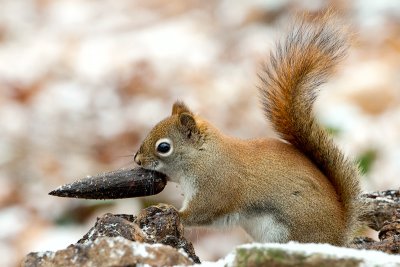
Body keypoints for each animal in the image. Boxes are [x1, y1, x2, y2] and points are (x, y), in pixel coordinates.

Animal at [134, 12, 362, 247]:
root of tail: (338, 235)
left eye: (163, 147)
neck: (203, 156)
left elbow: (201, 212)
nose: (138, 160)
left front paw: (170, 211)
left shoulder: (216, 185)